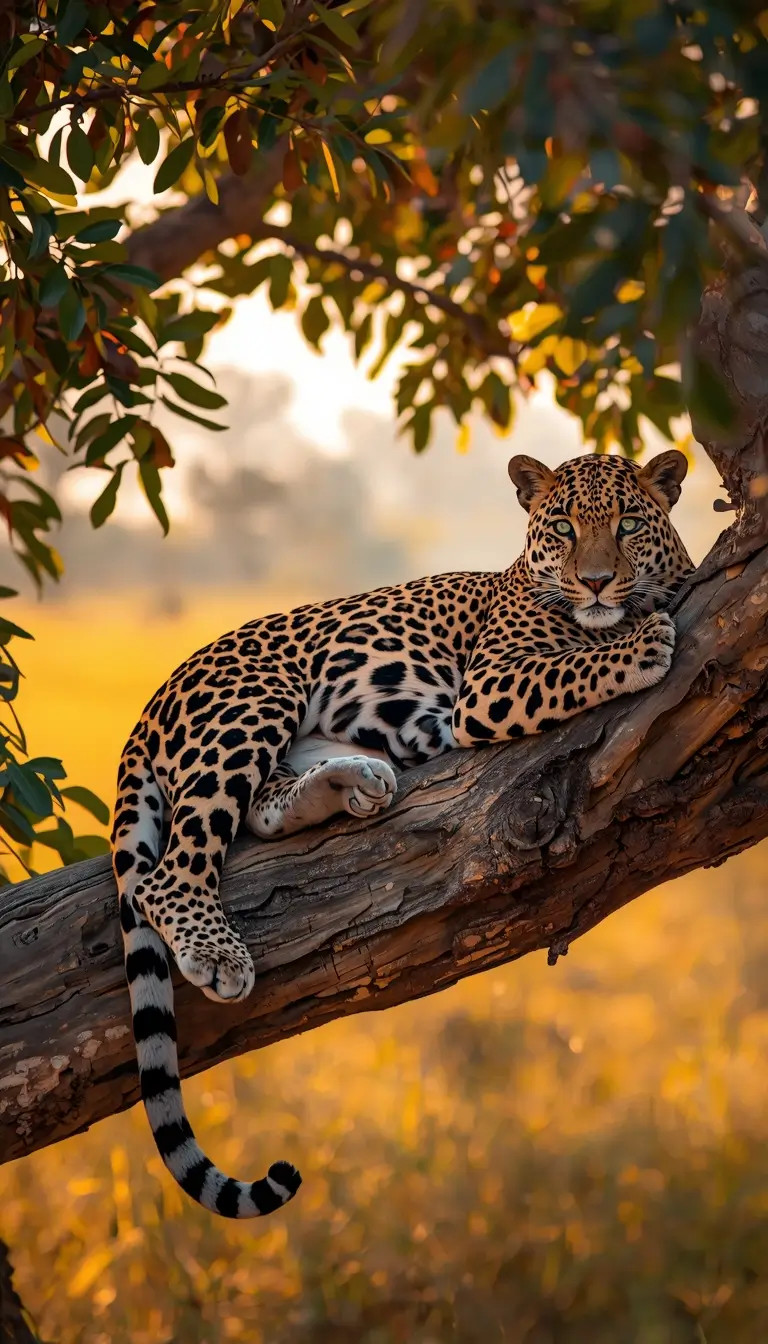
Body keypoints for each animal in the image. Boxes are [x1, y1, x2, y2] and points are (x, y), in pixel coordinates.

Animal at [112, 448, 693, 1220]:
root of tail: (153, 701)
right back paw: (218, 952)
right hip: (254, 699)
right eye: (564, 528)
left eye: (628, 524)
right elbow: (574, 663)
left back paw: (351, 783)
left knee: (260, 809)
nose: (596, 580)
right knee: (169, 873)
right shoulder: (489, 688)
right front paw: (638, 643)